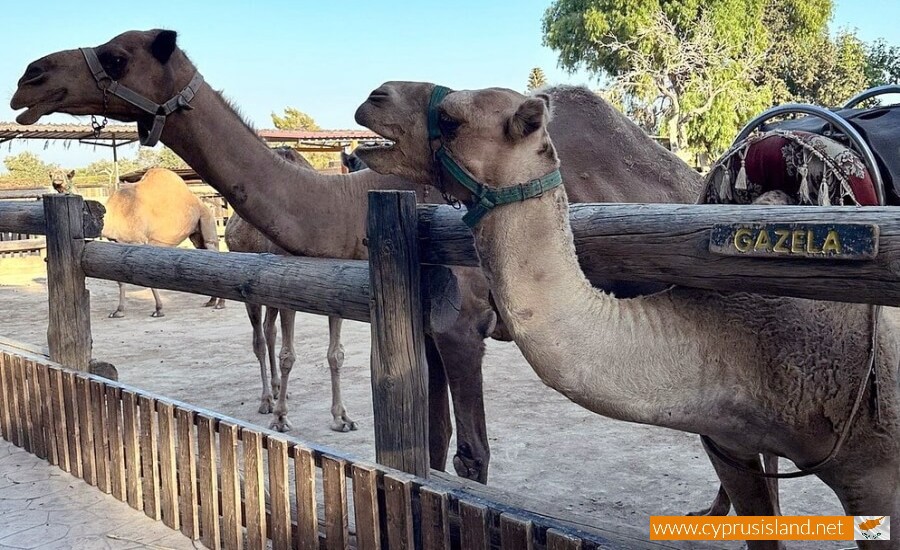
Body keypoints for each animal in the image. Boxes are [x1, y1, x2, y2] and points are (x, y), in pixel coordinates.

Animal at [90, 166, 221, 316]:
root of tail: (200, 201)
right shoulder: (118, 242)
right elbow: (119, 279)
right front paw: (118, 311)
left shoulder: (138, 241)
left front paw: (159, 309)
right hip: (196, 232)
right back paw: (211, 301)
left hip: (206, 217)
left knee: (213, 247)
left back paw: (219, 304)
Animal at [223, 147, 356, 436]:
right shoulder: (286, 293)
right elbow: (288, 355)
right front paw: (281, 417)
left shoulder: (335, 295)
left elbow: (336, 354)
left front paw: (341, 417)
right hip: (250, 287)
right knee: (259, 339)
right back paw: (266, 400)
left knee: (268, 330)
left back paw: (275, 390)